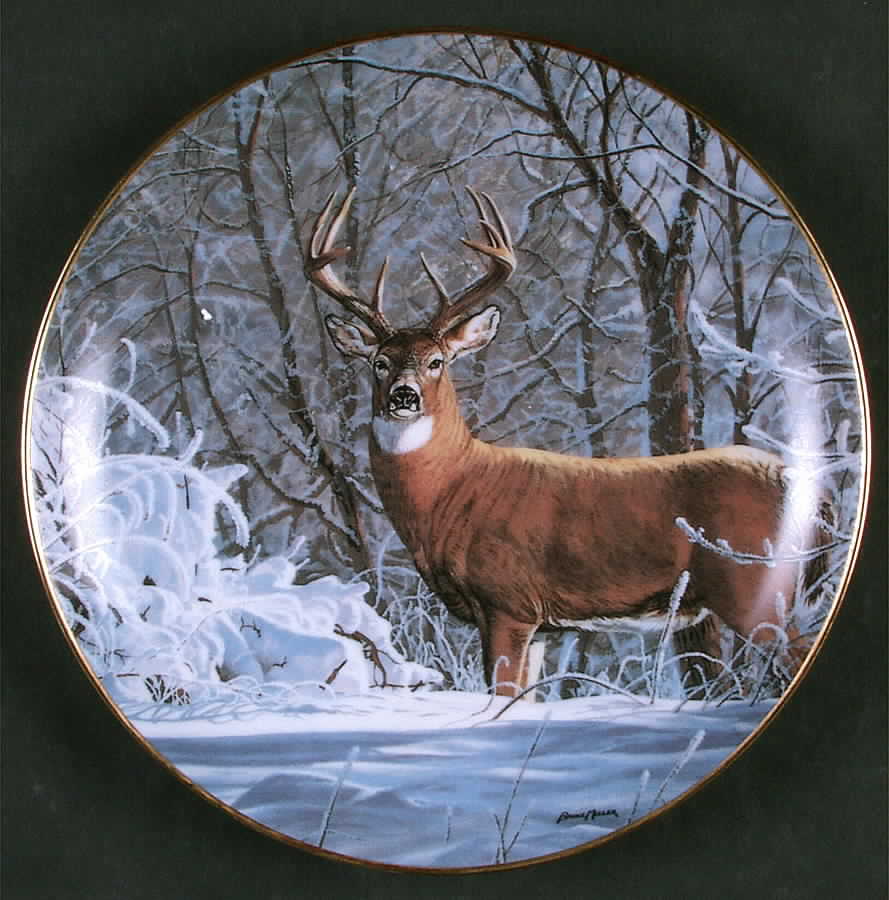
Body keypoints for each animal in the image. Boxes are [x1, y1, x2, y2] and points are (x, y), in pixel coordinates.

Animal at [305, 186, 830, 698]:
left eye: (437, 361)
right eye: (379, 361)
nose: (404, 395)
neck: (452, 492)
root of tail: (796, 478)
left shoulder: (509, 601)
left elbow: (500, 694)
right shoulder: (542, 627)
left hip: (754, 587)